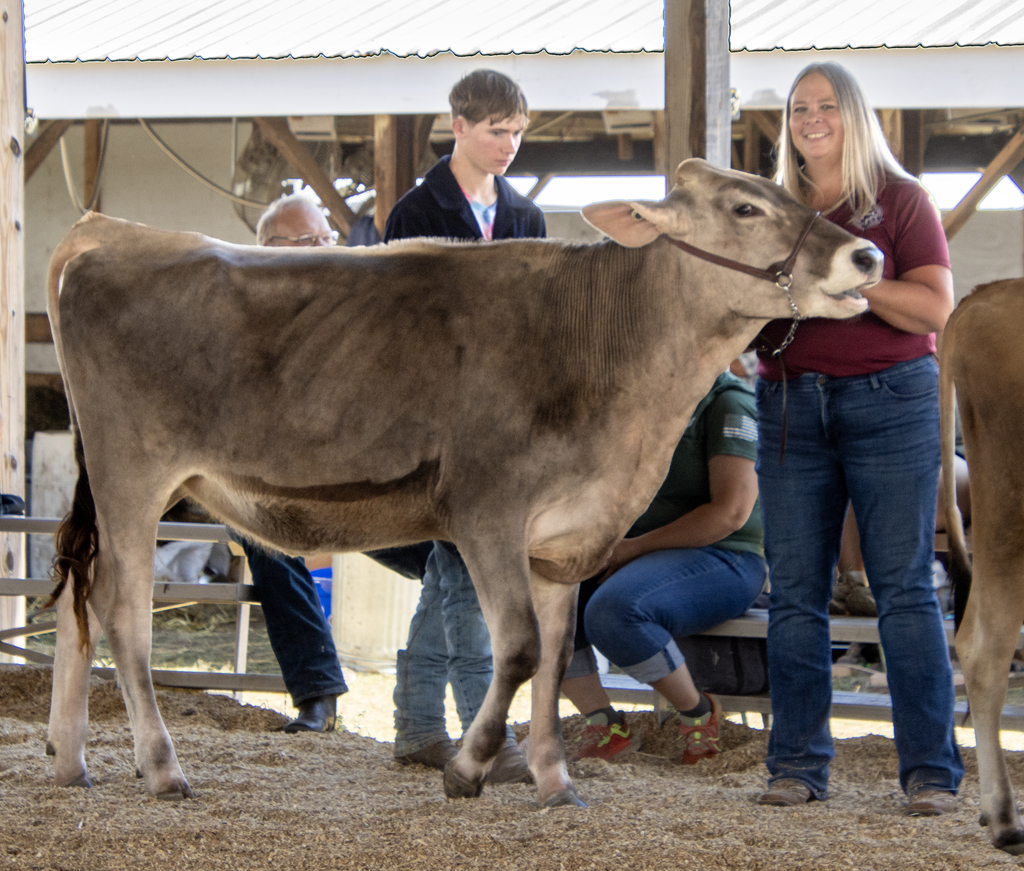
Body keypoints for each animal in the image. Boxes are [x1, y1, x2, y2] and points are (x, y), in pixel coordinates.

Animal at [45, 158, 882, 809]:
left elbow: (554, 654)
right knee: (123, 611)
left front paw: (553, 781)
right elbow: (517, 648)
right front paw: (469, 767)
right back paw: (161, 768)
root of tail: (108, 232)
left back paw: (70, 758)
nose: (869, 255)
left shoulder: (564, 539)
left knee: (83, 595)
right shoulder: (488, 513)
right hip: (133, 473)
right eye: (746, 207)